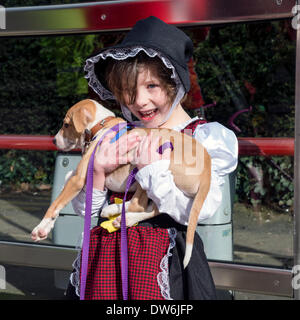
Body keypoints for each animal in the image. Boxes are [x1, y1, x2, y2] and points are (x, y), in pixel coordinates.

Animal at [31, 100, 211, 268]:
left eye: (66, 124)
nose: (54, 141)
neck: (101, 126)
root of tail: (207, 171)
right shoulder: (78, 176)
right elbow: (64, 185)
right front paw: (46, 228)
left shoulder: (78, 179)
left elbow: (56, 203)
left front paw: (40, 227)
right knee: (158, 207)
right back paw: (126, 219)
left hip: (145, 159)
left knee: (140, 203)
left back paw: (112, 210)